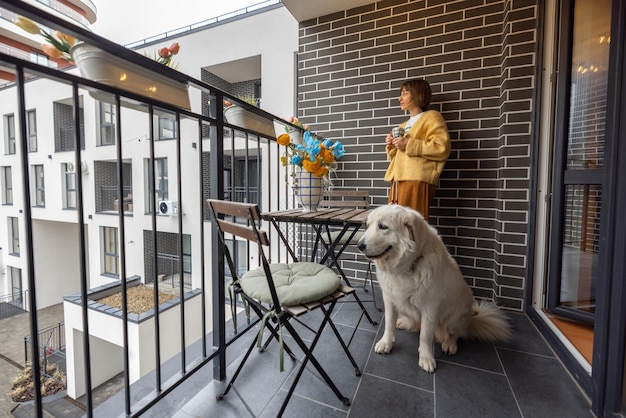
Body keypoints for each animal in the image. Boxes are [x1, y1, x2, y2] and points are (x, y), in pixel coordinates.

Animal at [358, 206, 510, 372]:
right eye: (368, 225)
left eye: (383, 226)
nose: (359, 245)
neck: (408, 265)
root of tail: (470, 319)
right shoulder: (390, 298)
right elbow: (389, 324)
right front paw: (386, 343)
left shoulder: (430, 307)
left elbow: (425, 335)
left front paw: (426, 358)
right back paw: (403, 322)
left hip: (457, 315)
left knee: (455, 333)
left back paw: (450, 344)